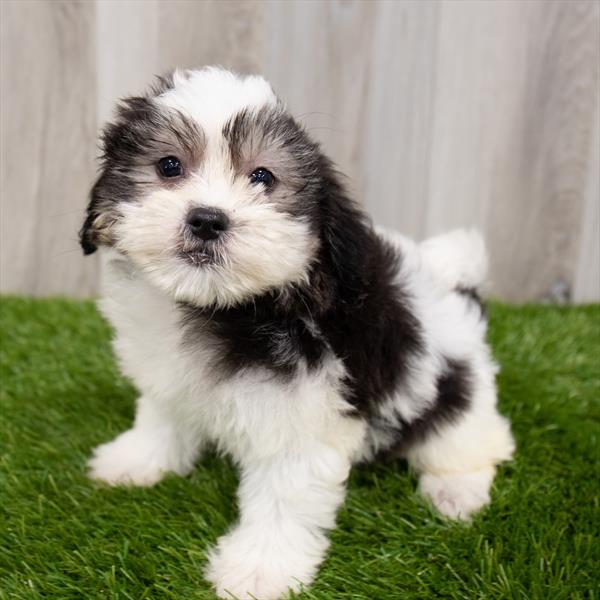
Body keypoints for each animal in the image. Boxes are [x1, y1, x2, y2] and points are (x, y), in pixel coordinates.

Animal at [78, 67, 510, 600]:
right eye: (169, 166)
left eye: (263, 177)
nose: (207, 219)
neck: (223, 306)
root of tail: (456, 291)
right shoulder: (170, 373)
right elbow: (162, 416)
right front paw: (137, 460)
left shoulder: (305, 411)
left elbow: (284, 491)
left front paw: (260, 570)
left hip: (455, 390)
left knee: (470, 438)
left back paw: (455, 488)